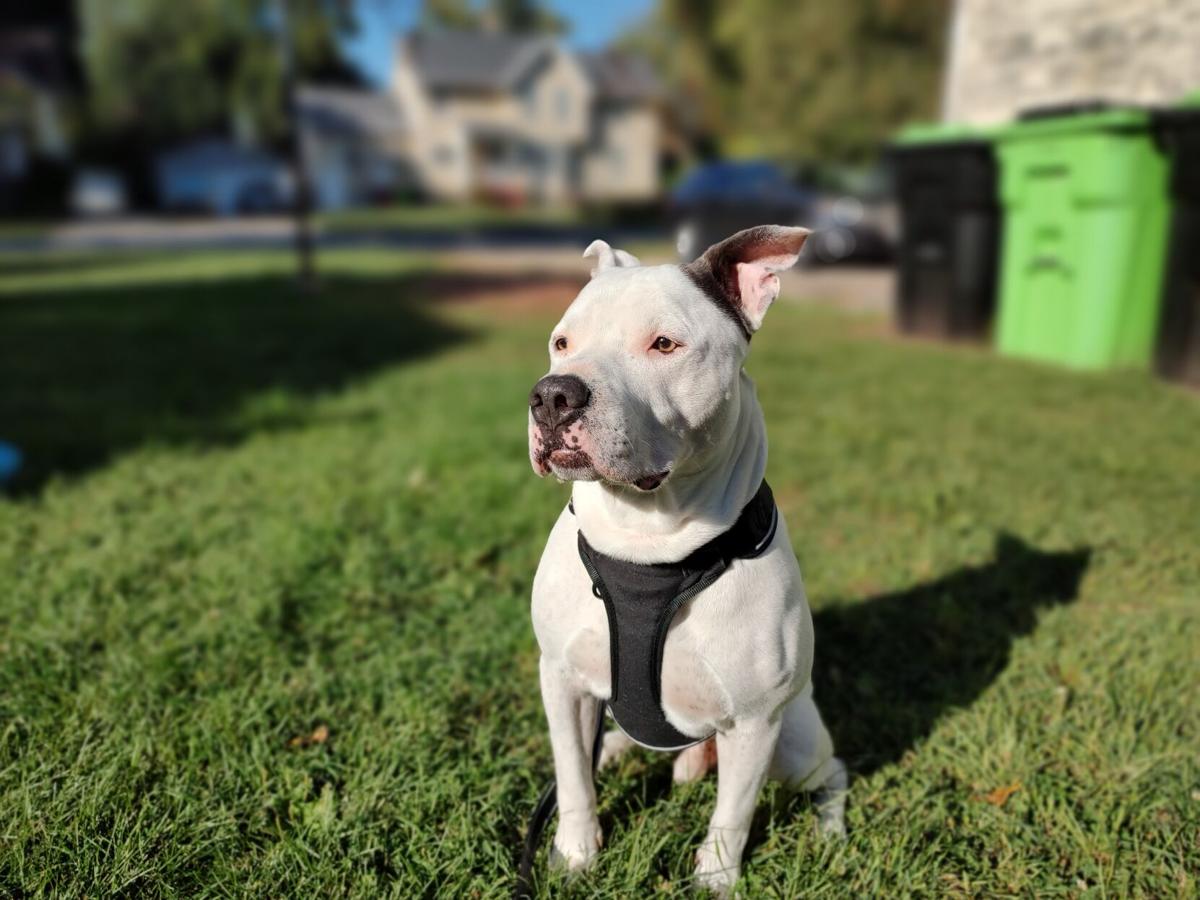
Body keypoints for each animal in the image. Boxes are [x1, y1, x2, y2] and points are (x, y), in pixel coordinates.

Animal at [525, 226, 844, 897]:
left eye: (664, 344)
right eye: (562, 342)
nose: (553, 395)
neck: (648, 543)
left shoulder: (755, 722)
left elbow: (733, 814)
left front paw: (716, 879)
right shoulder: (561, 681)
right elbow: (572, 778)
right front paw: (575, 852)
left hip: (796, 745)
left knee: (834, 773)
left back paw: (831, 835)